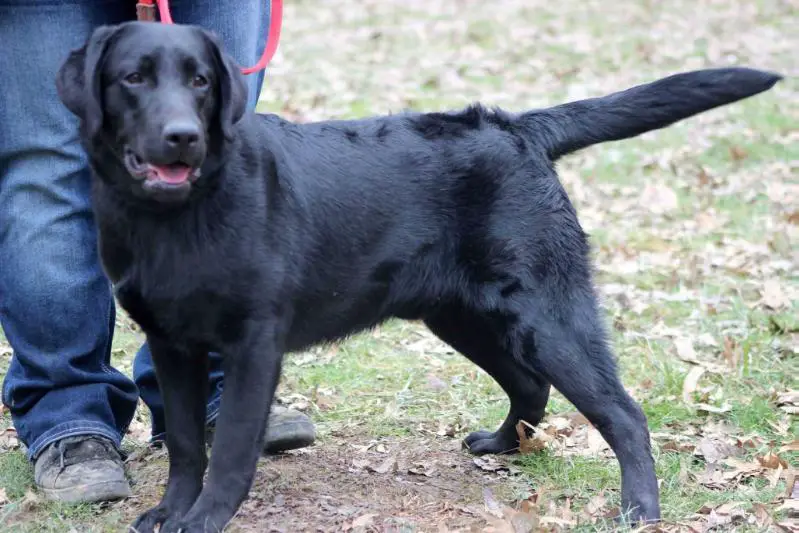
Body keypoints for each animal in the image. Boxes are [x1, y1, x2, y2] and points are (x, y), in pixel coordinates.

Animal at [56, 20, 780, 532]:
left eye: (202, 81)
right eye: (133, 78)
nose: (183, 135)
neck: (177, 215)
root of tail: (518, 128)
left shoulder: (254, 344)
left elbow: (231, 447)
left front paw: (205, 520)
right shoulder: (170, 343)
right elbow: (185, 444)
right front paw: (169, 513)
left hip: (546, 312)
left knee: (623, 413)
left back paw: (638, 511)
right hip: (464, 314)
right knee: (530, 385)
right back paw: (503, 445)